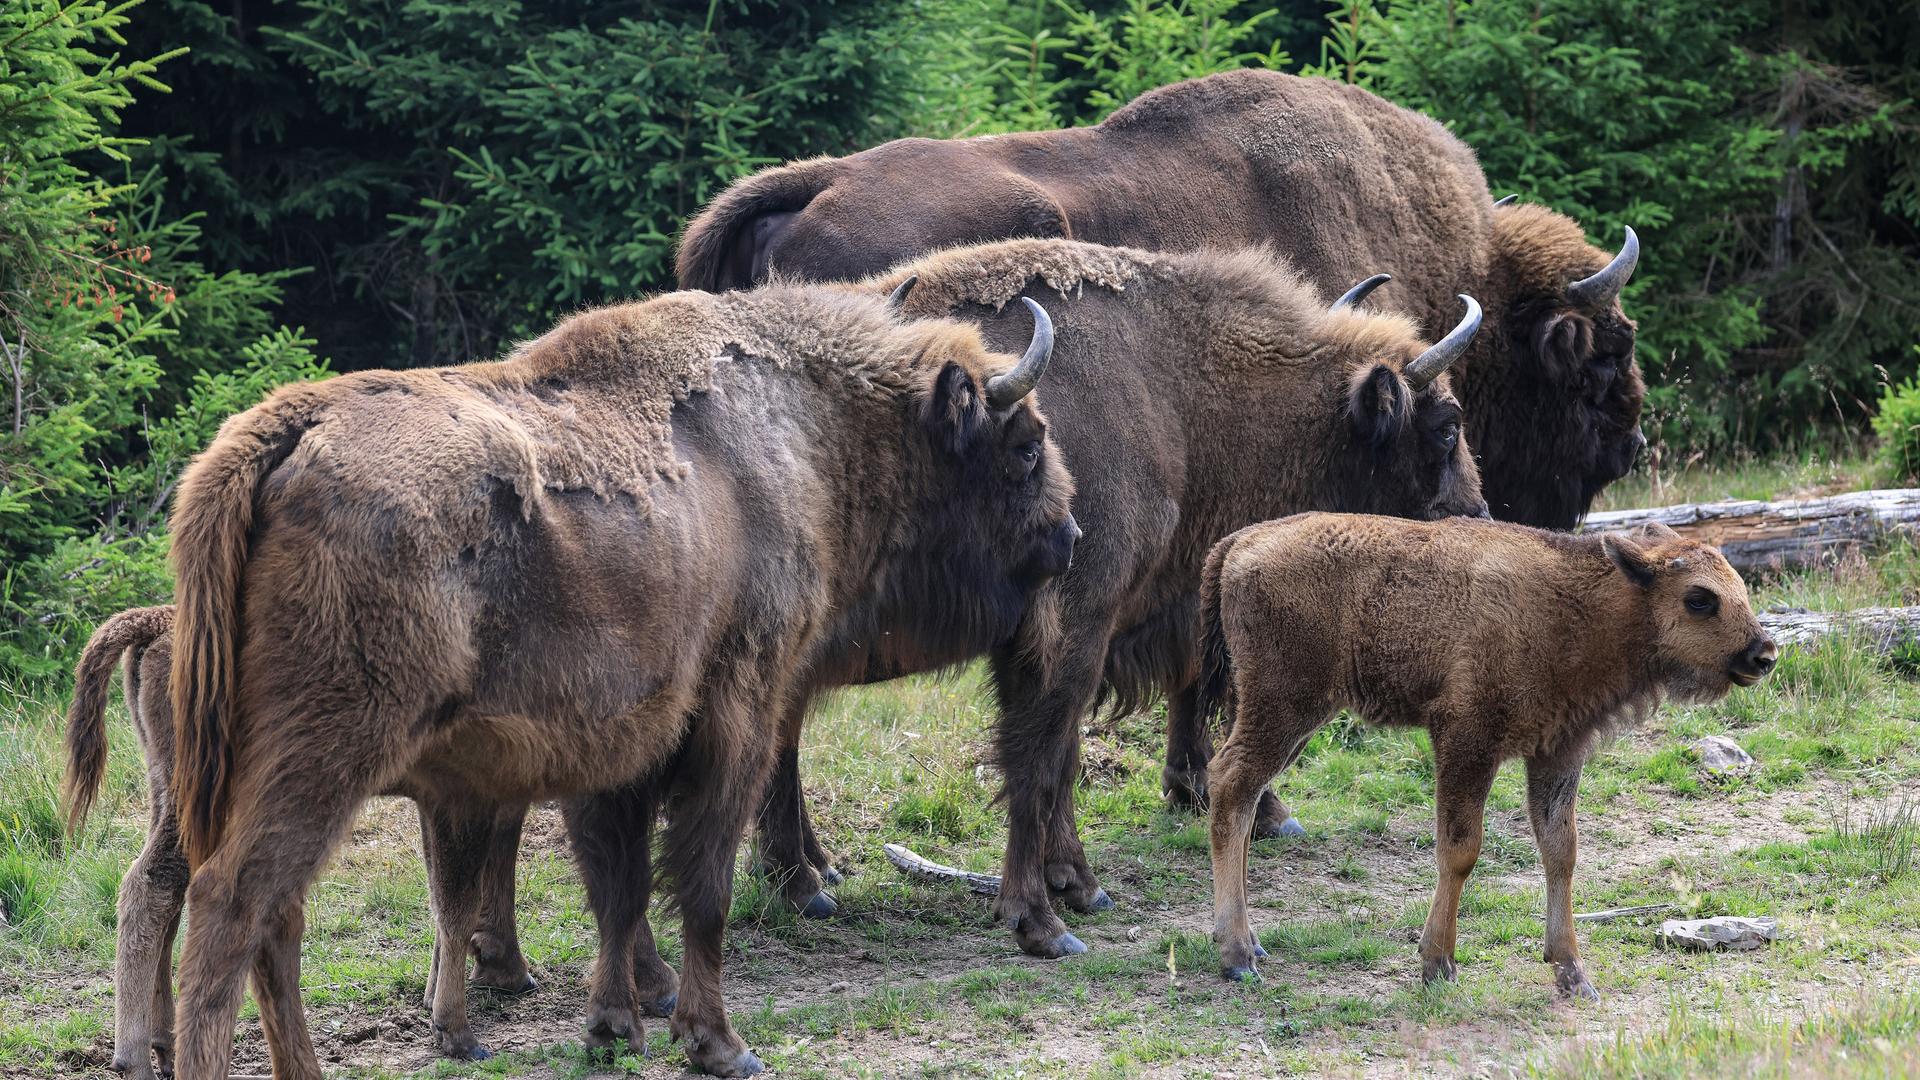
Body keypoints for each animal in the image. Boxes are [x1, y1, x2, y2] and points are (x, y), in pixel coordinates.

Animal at [62, 607, 533, 1076]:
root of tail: (158, 620)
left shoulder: (439, 803)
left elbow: (446, 891)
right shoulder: (468, 796)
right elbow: (460, 901)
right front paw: (465, 1025)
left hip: (170, 792)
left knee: (169, 893)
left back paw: (166, 1046)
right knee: (150, 886)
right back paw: (135, 1059)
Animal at [155, 282, 1075, 1068]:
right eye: (1024, 447)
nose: (1067, 538)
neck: (797, 430)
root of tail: (283, 429)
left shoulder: (621, 747)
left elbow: (620, 889)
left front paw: (612, 1027)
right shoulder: (737, 715)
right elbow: (701, 884)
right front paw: (718, 1044)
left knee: (275, 920)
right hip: (322, 759)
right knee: (231, 907)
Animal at [1190, 511, 1774, 991]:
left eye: (1740, 589)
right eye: (1699, 598)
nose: (1764, 654)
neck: (1581, 602)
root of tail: (1238, 542)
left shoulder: (1558, 752)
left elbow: (1560, 850)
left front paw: (1571, 970)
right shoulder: (1467, 741)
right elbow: (1461, 849)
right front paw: (1438, 963)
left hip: (1293, 717)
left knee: (1242, 793)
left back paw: (1249, 943)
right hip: (1285, 706)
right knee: (1231, 785)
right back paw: (1238, 956)